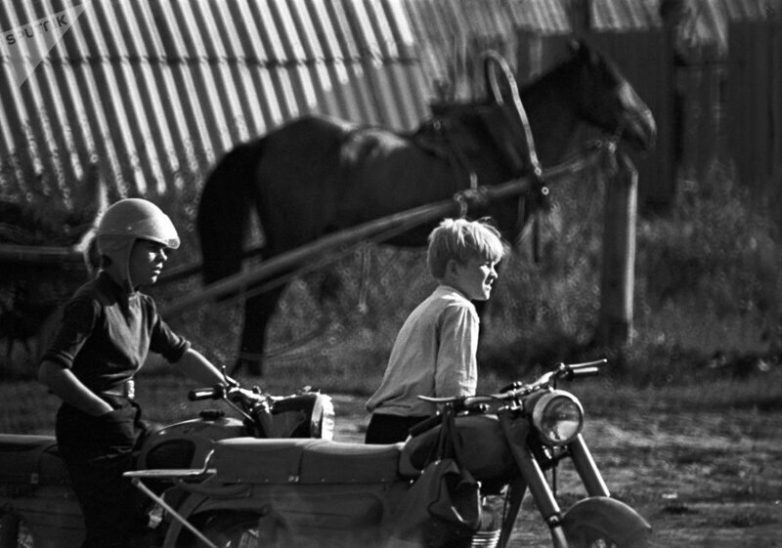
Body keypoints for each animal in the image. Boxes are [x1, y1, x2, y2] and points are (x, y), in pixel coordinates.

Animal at [196, 40, 656, 376]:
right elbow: (479, 308)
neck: (505, 143)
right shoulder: (494, 246)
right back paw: (251, 371)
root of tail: (267, 140)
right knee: (261, 300)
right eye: (613, 83)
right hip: (290, 243)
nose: (648, 127)